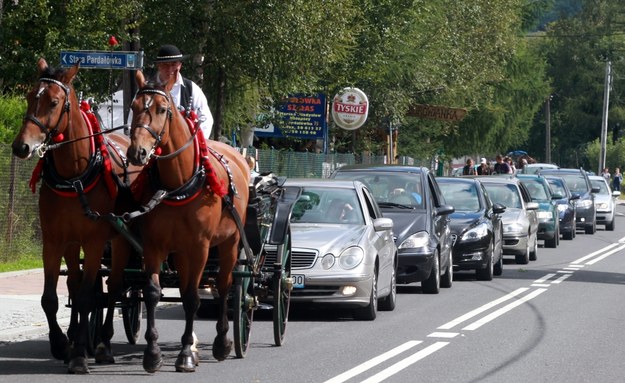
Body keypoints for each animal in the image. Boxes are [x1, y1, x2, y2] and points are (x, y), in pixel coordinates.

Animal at [11, 58, 140, 374]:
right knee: (76, 282)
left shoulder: (94, 242)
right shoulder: (54, 240)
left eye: (54, 102)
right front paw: (61, 345)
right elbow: (51, 298)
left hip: (119, 240)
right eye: (29, 96)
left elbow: (85, 297)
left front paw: (80, 355)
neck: (75, 176)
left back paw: (103, 345)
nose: (21, 146)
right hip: (72, 243)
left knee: (113, 288)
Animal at [125, 70, 250, 374]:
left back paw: (221, 343)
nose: (137, 152)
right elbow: (153, 293)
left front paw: (185, 355)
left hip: (230, 243)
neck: (178, 185)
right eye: (134, 106)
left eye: (162, 109)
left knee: (225, 285)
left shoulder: (199, 248)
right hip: (180, 252)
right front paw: (153, 353)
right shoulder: (154, 246)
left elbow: (193, 297)